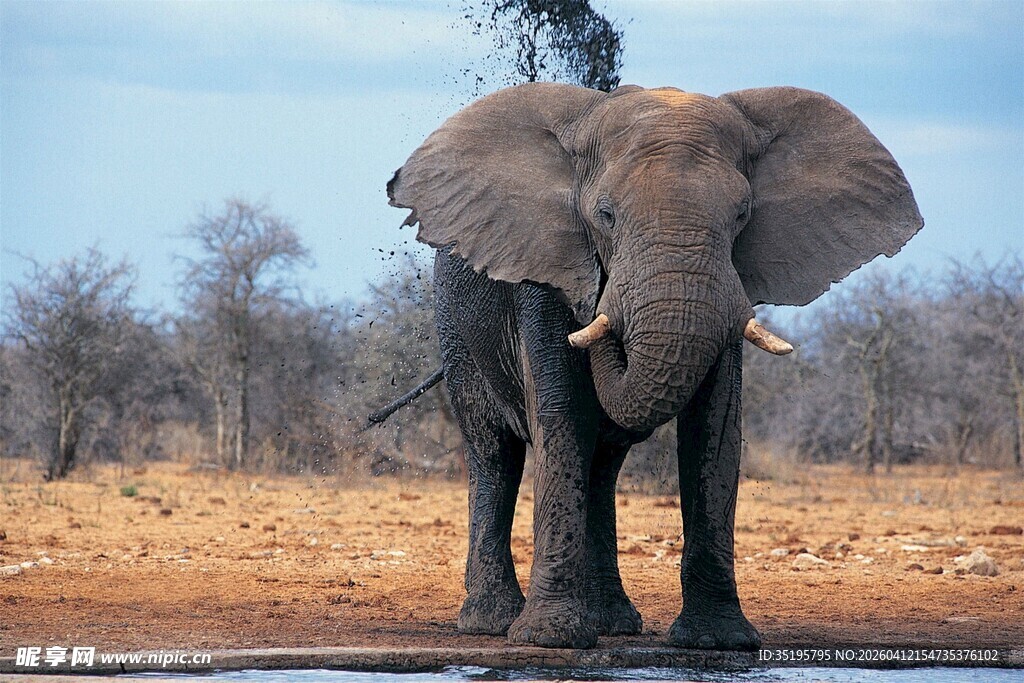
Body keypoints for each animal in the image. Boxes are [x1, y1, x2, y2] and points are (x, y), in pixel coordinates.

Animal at [384, 82, 922, 650]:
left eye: (741, 216)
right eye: (604, 215)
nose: (600, 297)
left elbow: (715, 427)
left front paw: (719, 641)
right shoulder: (543, 275)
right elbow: (562, 416)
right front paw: (551, 639)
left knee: (601, 466)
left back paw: (614, 623)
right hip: (456, 332)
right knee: (495, 456)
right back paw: (491, 623)